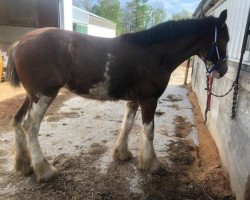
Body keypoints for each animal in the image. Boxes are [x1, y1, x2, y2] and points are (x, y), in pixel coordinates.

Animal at [6, 10, 229, 181]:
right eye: (224, 39)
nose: (223, 70)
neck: (154, 53)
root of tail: (20, 42)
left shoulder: (134, 100)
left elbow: (127, 125)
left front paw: (122, 154)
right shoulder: (149, 100)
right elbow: (148, 131)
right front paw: (152, 164)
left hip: (32, 95)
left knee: (17, 121)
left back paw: (24, 165)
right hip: (43, 95)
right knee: (30, 126)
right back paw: (45, 170)